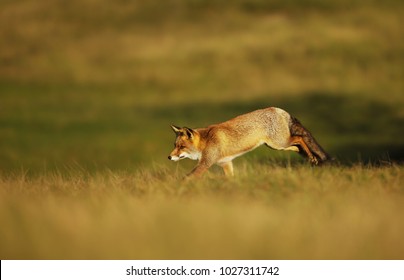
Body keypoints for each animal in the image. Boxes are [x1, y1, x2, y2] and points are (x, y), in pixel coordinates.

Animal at [168, 107, 332, 177]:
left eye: (181, 147)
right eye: (175, 146)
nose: (169, 157)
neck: (206, 141)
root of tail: (279, 109)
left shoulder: (205, 163)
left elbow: (187, 178)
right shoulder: (226, 163)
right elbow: (231, 179)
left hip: (280, 142)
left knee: (299, 138)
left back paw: (311, 157)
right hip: (276, 146)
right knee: (297, 146)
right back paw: (310, 156)